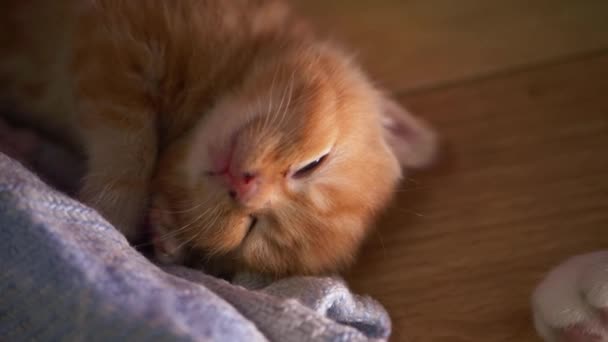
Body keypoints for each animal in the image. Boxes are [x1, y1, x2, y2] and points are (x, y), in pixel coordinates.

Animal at [0, 0, 436, 276]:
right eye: (313, 164)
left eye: (251, 230)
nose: (245, 186)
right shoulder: (121, 35)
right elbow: (131, 138)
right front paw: (109, 216)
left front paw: (164, 234)